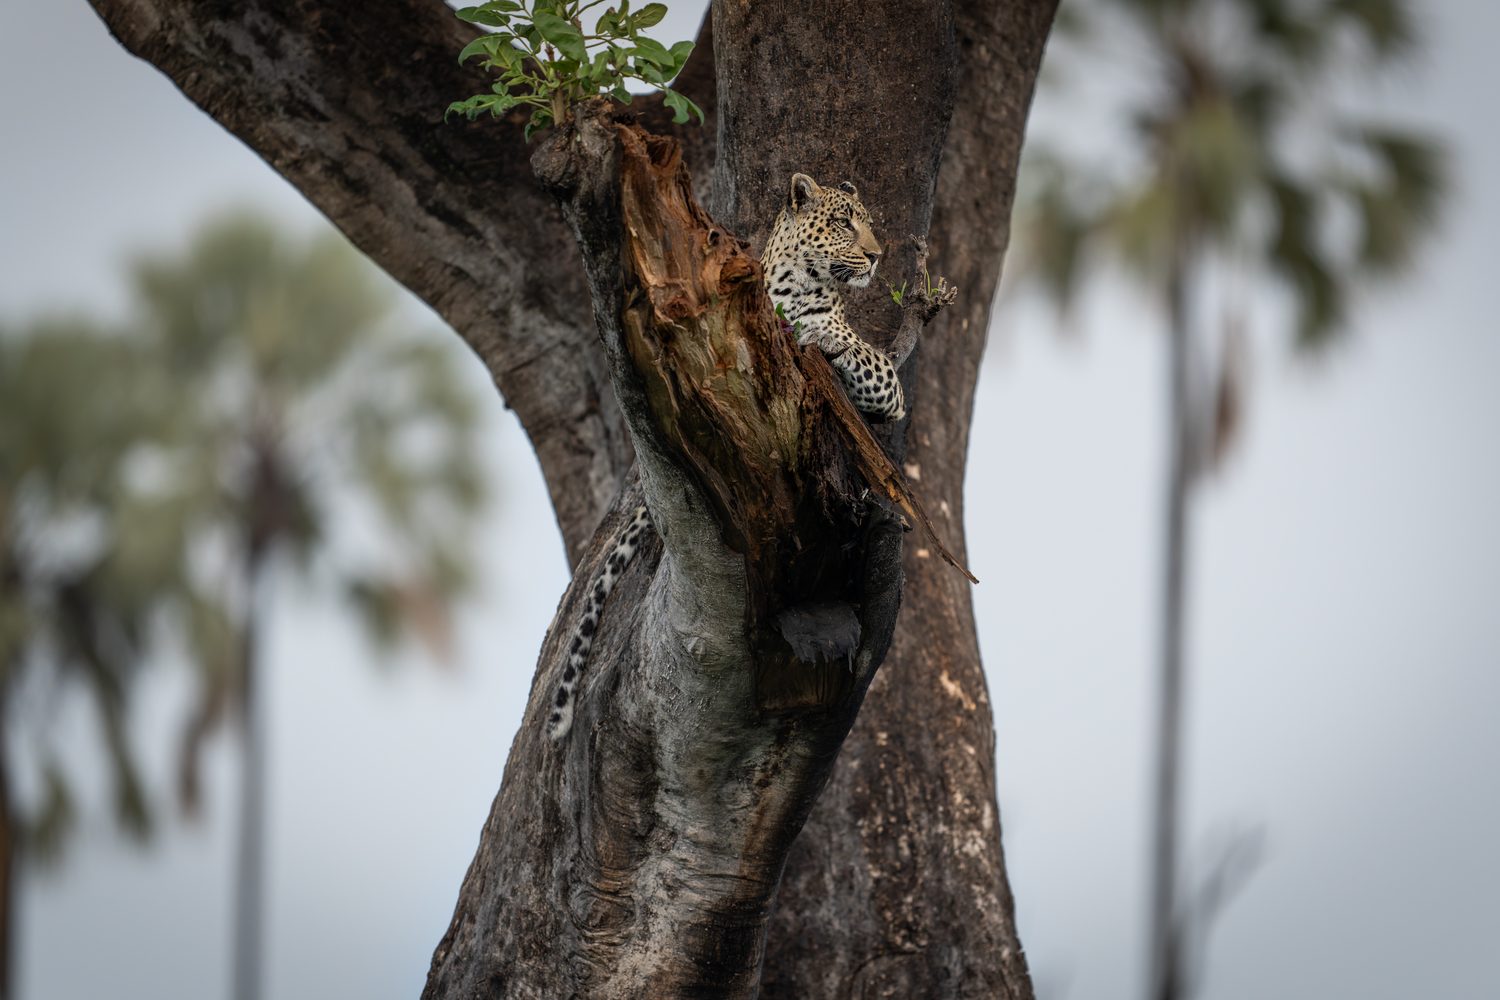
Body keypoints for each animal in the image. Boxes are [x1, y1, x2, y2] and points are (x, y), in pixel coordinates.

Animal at [762, 172, 906, 422]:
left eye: (870, 225)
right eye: (844, 223)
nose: (876, 256)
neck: (791, 283)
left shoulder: (890, 385)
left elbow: (857, 350)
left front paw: (823, 339)